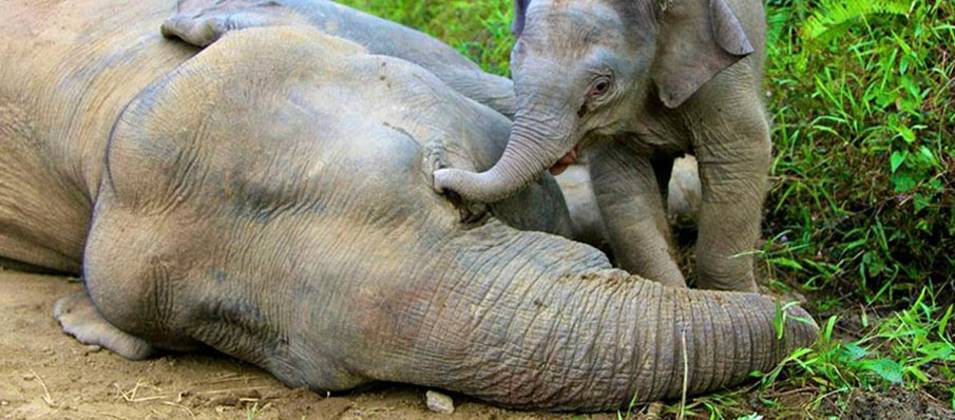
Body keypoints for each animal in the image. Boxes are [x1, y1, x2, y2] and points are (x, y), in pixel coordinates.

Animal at [432, 0, 773, 293]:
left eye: (601, 87)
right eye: (513, 68)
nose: (439, 179)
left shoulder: (722, 79)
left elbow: (741, 157)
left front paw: (737, 299)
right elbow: (622, 187)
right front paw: (675, 295)